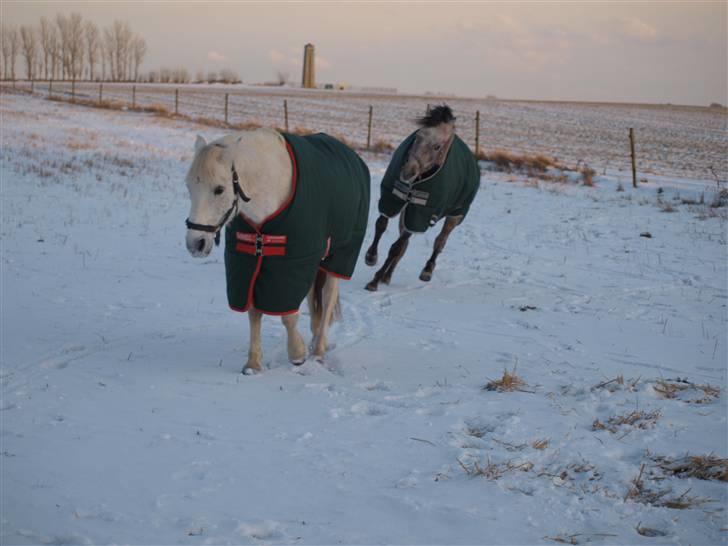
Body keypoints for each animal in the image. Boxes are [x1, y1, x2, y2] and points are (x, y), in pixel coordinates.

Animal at [185, 129, 356, 374]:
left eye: (219, 189)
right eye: (189, 187)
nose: (195, 243)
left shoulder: (289, 265)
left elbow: (288, 317)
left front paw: (297, 354)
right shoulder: (250, 264)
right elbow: (254, 313)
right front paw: (253, 364)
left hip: (337, 259)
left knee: (328, 298)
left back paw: (318, 351)